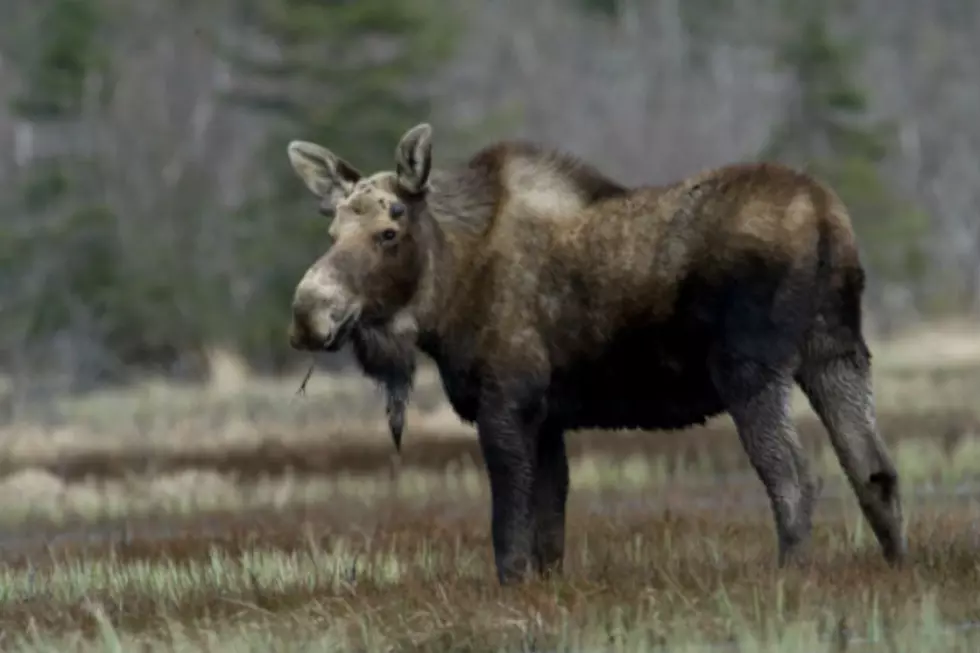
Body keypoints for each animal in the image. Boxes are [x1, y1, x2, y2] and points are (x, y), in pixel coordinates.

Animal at [284, 125, 904, 584]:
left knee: (797, 477)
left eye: (388, 232)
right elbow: (549, 531)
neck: (447, 292)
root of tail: (825, 216)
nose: (309, 312)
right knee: (873, 468)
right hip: (837, 352)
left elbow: (509, 535)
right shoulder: (546, 416)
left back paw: (790, 579)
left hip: (750, 368)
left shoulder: (505, 402)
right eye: (333, 230)